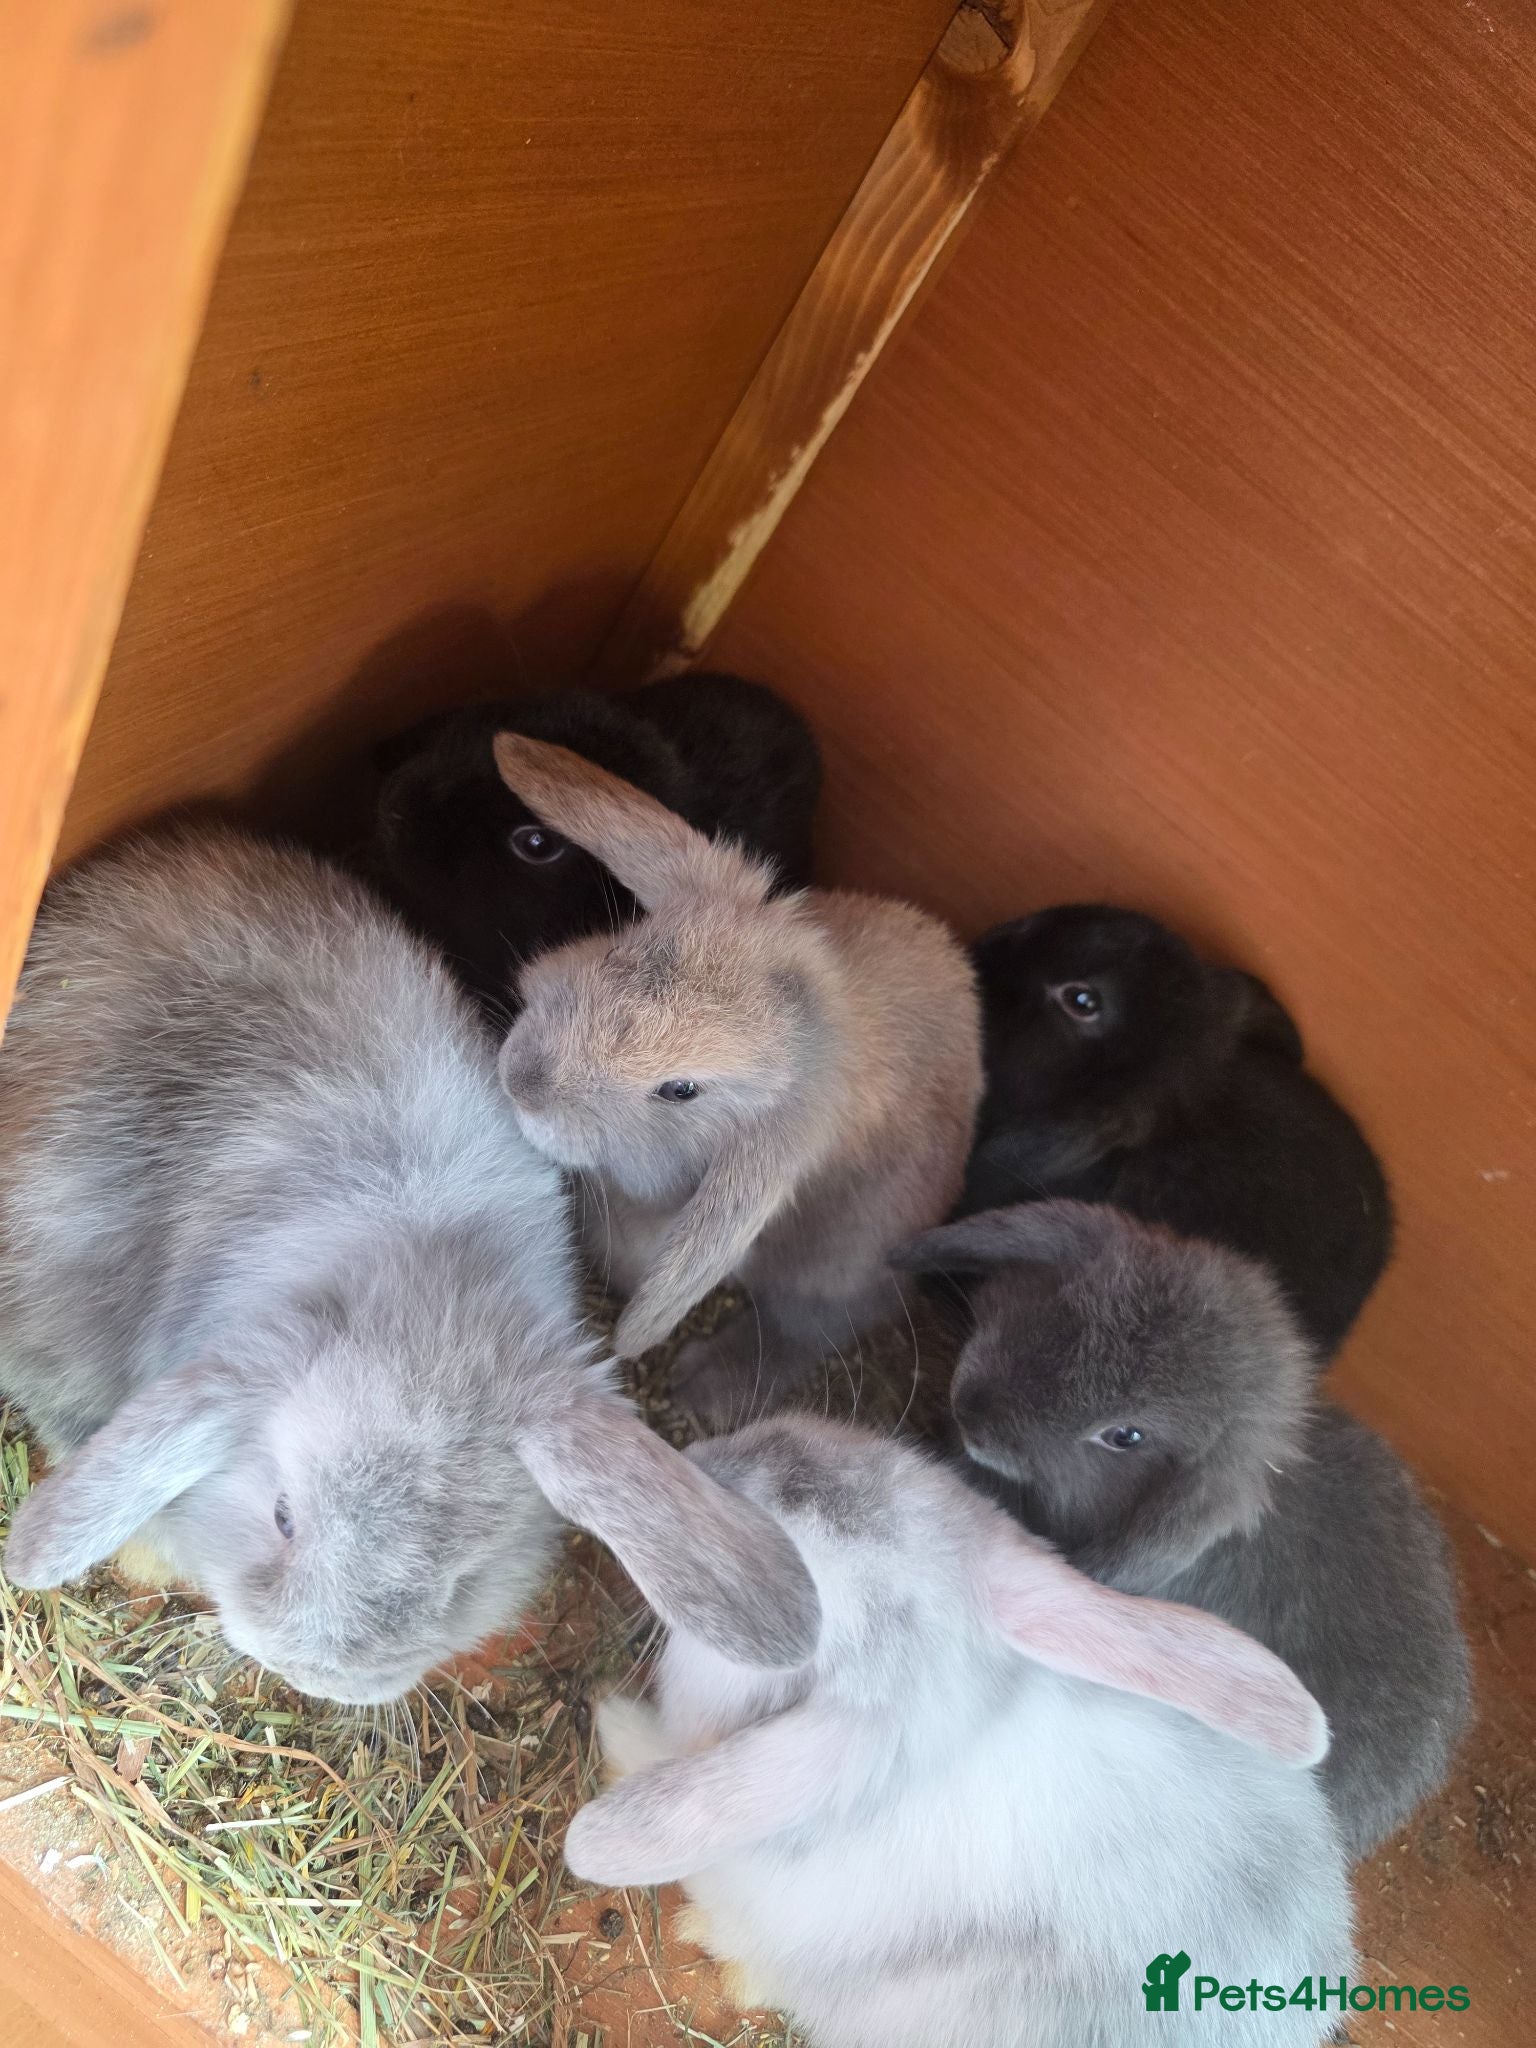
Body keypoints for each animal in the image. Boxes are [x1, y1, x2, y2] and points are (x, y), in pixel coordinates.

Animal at [488, 733, 983, 1426]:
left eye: (680, 1090)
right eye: (619, 949)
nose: (522, 1079)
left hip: (835, 1273)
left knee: (809, 1330)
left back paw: (703, 1384)